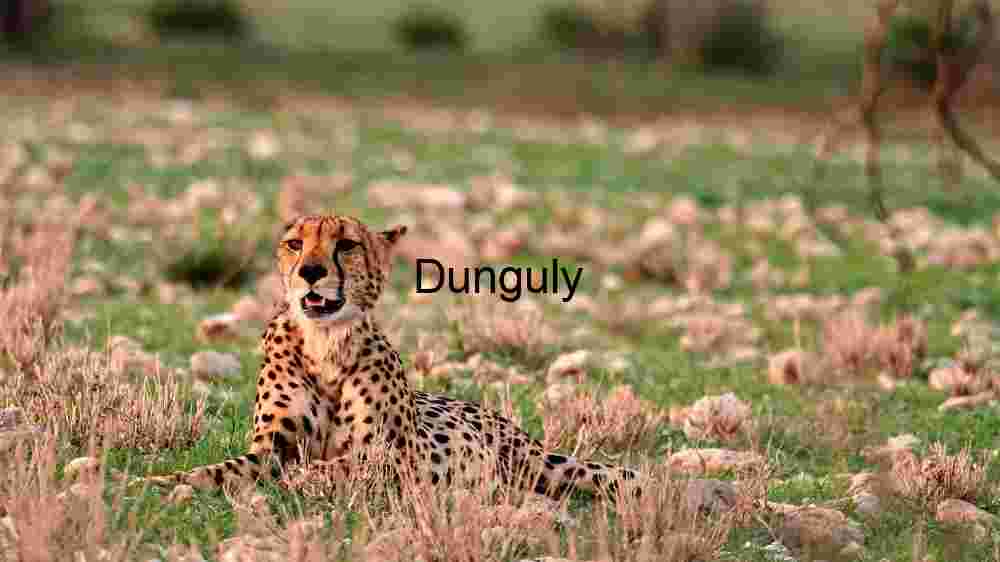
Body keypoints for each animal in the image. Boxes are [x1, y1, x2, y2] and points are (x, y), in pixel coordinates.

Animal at [142, 213, 639, 498]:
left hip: (542, 466)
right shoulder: (271, 449)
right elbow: (219, 469)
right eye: (295, 244)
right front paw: (160, 482)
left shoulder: (399, 455)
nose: (311, 272)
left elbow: (341, 463)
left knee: (608, 475)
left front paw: (306, 479)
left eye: (346, 245)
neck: (324, 343)